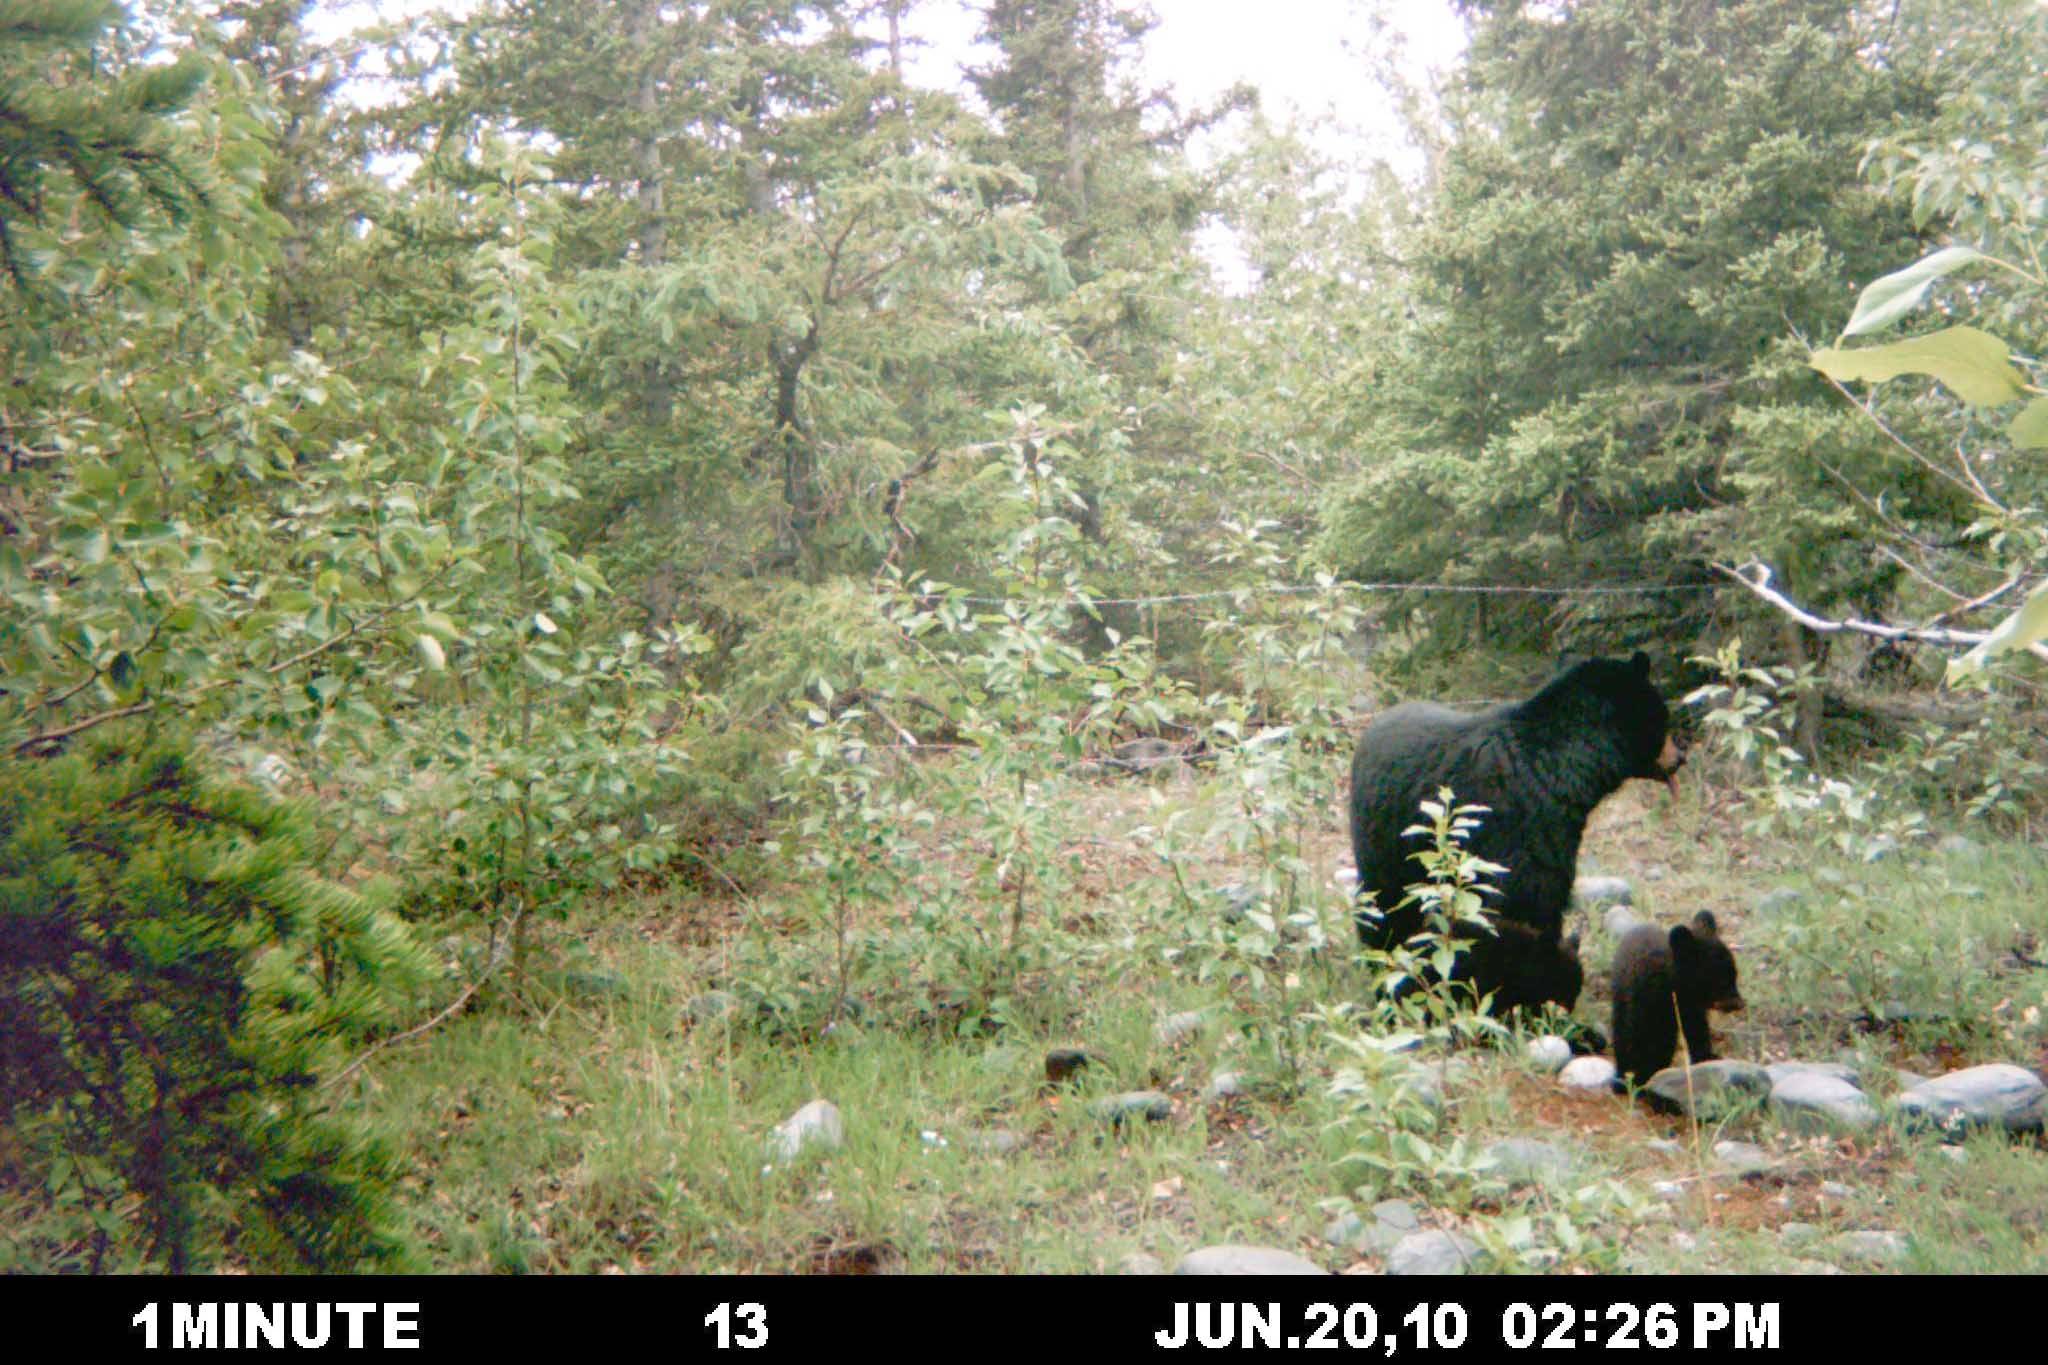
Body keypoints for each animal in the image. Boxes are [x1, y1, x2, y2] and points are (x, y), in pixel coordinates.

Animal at [1343, 650, 1679, 961]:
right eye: (1665, 718)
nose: (1680, 757)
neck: (1560, 767)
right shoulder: (1518, 826)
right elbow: (1517, 900)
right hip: (1383, 836)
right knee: (1385, 901)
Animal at [1613, 912, 1744, 1096]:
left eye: (1734, 975)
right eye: (1722, 980)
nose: (1739, 1003)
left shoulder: (1690, 1010)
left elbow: (1696, 1032)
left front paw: (1707, 1057)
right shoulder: (1640, 1003)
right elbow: (1630, 1037)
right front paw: (1628, 1079)